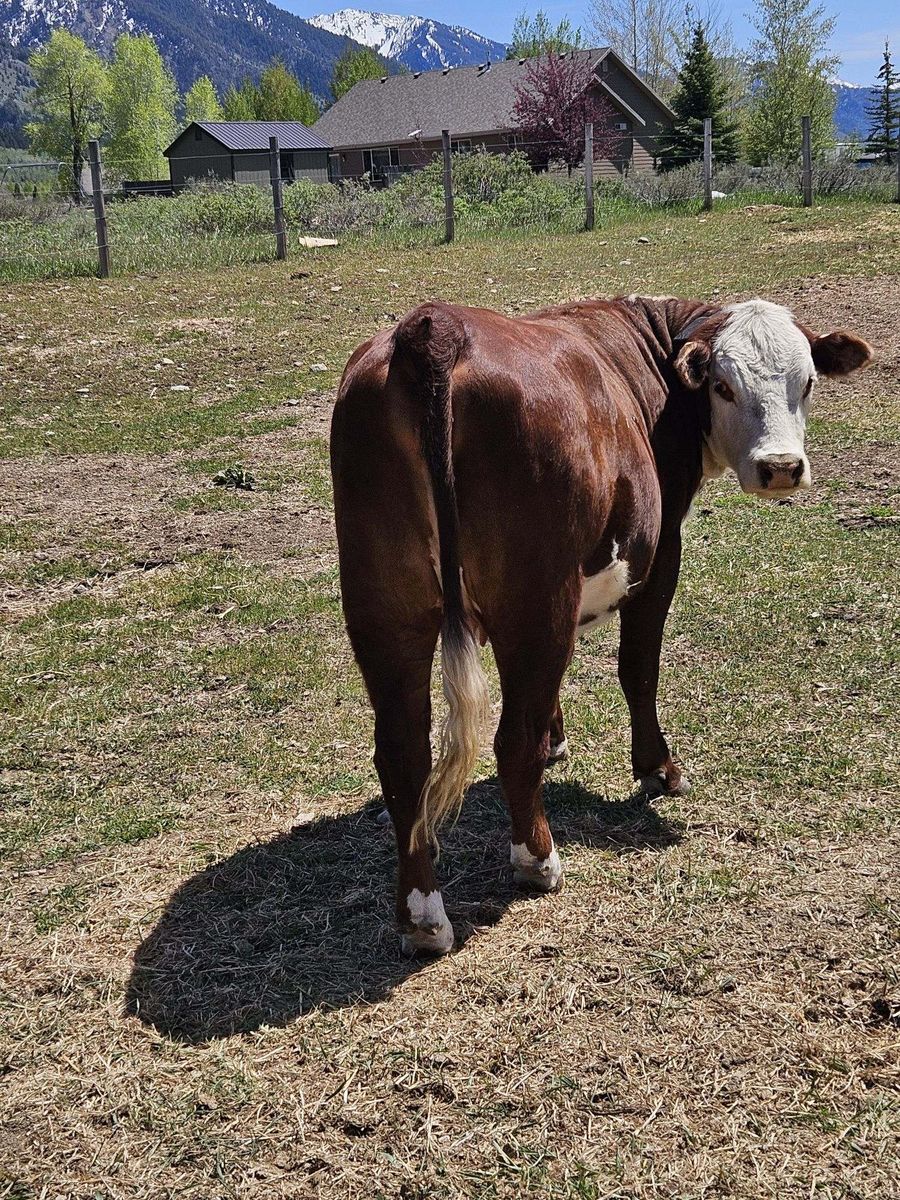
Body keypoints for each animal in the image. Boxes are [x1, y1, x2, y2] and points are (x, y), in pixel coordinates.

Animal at [329, 294, 872, 956]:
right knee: (511, 740)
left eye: (809, 381)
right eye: (722, 385)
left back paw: (423, 916)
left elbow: (545, 691)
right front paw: (658, 768)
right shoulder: (661, 557)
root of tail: (433, 328)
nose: (782, 467)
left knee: (403, 754)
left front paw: (559, 736)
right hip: (536, 592)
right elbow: (637, 668)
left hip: (386, 606)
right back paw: (537, 860)